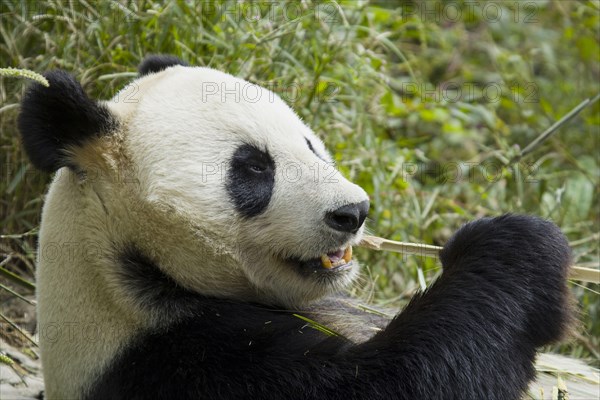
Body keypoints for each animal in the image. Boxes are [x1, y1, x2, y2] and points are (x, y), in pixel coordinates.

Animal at [17, 55, 572, 400]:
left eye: (310, 144)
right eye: (253, 167)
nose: (353, 212)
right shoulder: (173, 362)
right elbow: (400, 381)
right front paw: (514, 246)